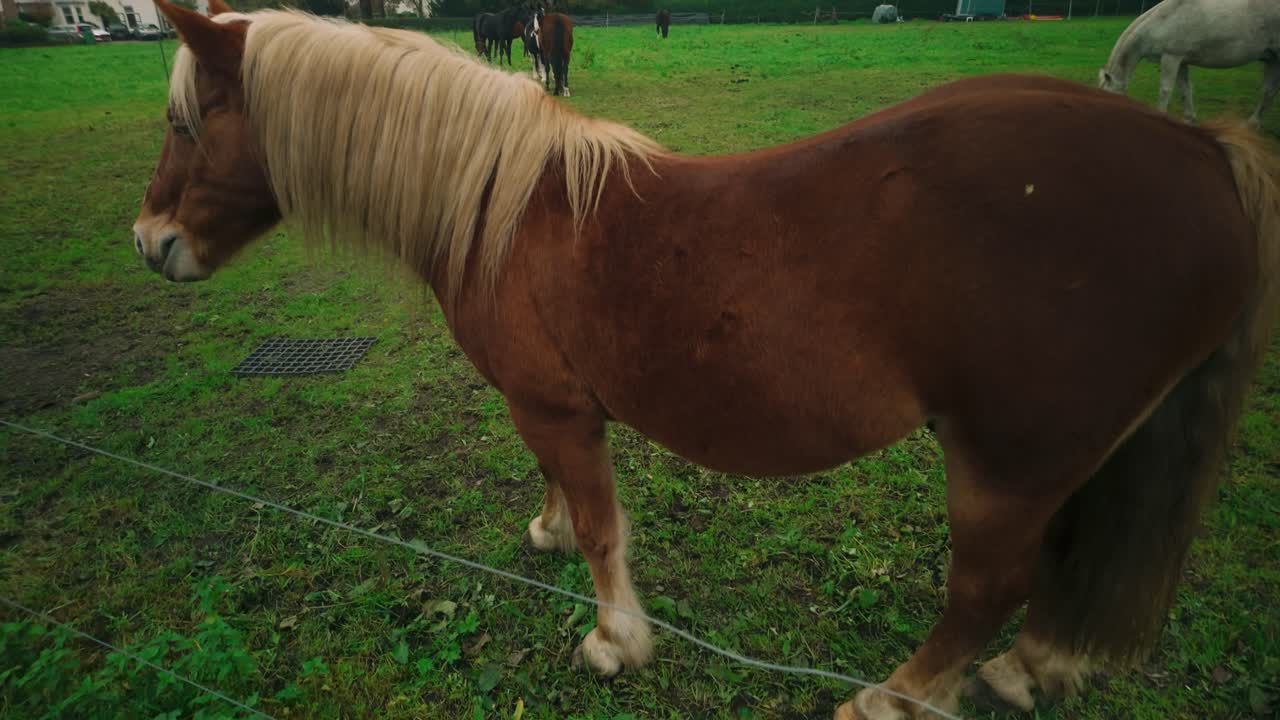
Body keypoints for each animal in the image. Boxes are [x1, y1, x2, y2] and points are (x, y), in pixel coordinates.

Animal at [1098, 0, 1280, 127]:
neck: (1162, 21)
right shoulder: (1181, 61)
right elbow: (1185, 89)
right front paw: (1189, 119)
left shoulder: (1170, 57)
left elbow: (1165, 90)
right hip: (1272, 59)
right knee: (1268, 91)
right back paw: (1253, 125)